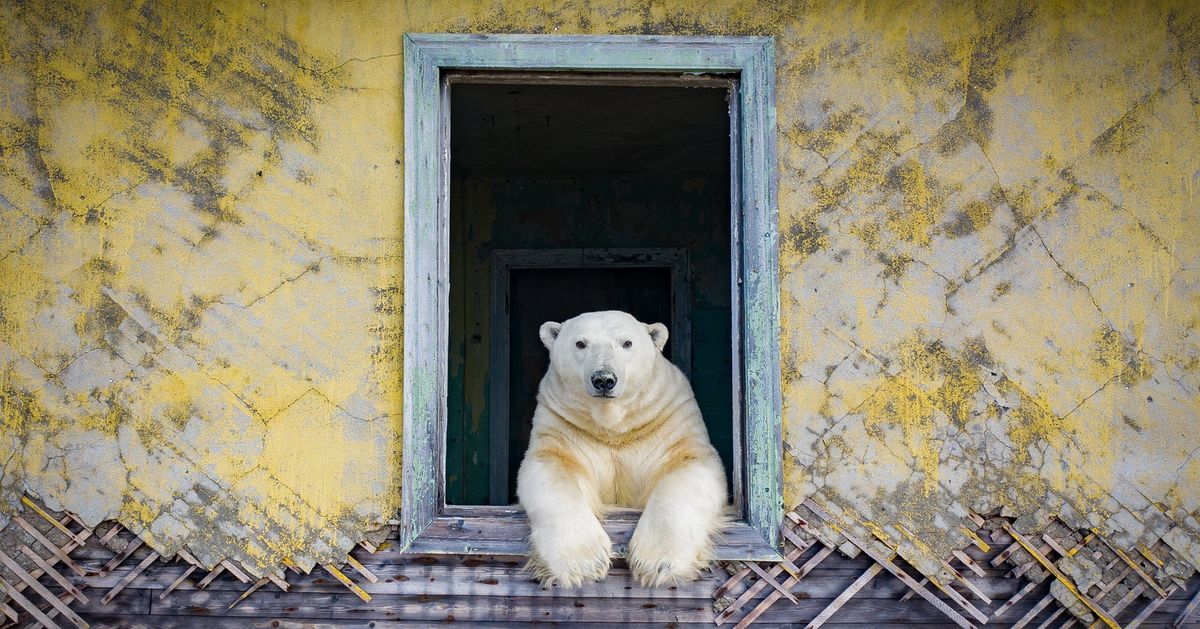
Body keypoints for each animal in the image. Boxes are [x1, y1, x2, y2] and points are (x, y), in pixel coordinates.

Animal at [513, 312, 720, 588]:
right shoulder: (562, 425)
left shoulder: (669, 419)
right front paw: (583, 563)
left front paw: (657, 563)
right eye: (580, 343)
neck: (613, 427)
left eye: (627, 343)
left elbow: (687, 466)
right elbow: (552, 469)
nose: (603, 379)